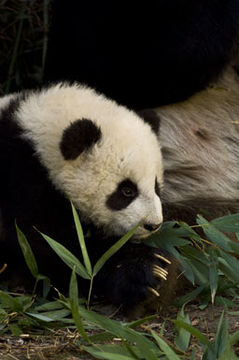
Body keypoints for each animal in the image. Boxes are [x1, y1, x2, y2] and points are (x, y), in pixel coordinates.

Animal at [0, 83, 168, 310]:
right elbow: (50, 243)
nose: (153, 224)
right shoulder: (19, 177)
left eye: (156, 186)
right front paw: (143, 270)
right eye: (127, 190)